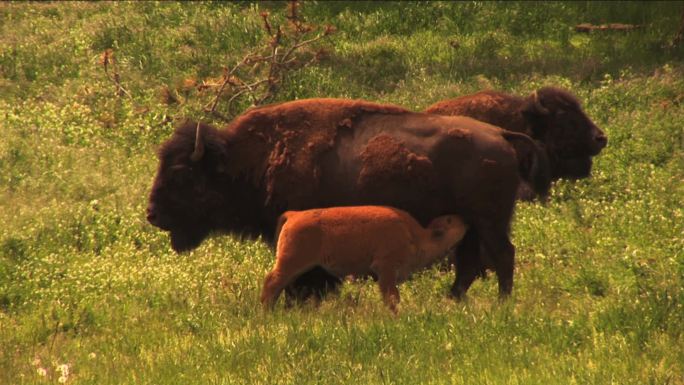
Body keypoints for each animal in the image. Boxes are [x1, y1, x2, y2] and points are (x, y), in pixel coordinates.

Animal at [260, 206, 468, 310]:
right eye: (450, 221)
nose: (465, 222)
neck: (416, 235)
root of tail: (294, 215)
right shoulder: (385, 269)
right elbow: (391, 296)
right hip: (290, 263)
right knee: (272, 282)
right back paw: (267, 312)